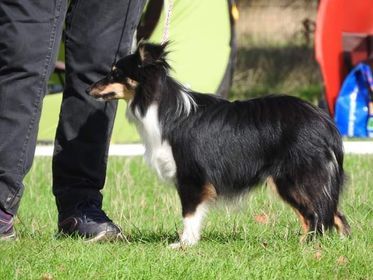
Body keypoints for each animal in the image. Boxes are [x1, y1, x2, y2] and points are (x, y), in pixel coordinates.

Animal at [87, 42, 348, 248]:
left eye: (115, 73)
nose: (89, 89)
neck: (158, 106)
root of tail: (324, 121)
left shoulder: (191, 178)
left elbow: (189, 214)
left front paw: (184, 244)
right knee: (333, 216)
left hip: (293, 178)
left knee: (317, 214)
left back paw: (307, 246)